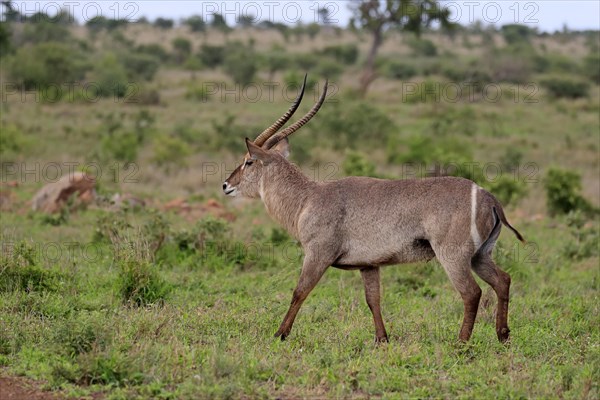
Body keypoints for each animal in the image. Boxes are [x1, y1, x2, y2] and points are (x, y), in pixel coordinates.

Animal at [221, 76, 524, 344]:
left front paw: (280, 335)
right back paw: (503, 336)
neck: (308, 197)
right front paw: (382, 339)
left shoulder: (317, 254)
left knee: (472, 292)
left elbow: (300, 291)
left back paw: (461, 343)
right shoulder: (369, 264)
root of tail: (487, 196)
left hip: (453, 256)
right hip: (480, 255)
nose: (226, 185)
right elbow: (373, 300)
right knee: (503, 280)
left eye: (248, 161)